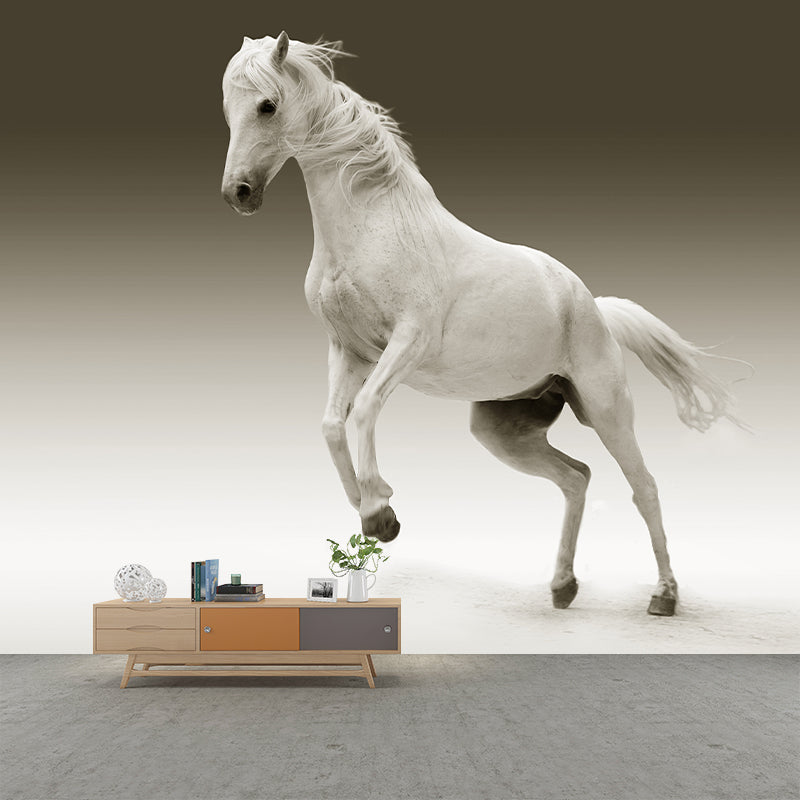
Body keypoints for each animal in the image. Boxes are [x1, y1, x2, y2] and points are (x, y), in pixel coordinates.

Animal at [220, 32, 744, 616]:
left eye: (267, 105)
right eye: (228, 108)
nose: (238, 193)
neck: (373, 227)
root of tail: (593, 307)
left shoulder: (407, 342)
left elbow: (366, 410)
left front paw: (379, 510)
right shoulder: (347, 350)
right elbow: (332, 425)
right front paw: (376, 511)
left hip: (606, 410)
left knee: (644, 487)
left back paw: (664, 596)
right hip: (503, 430)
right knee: (576, 478)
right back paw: (563, 586)